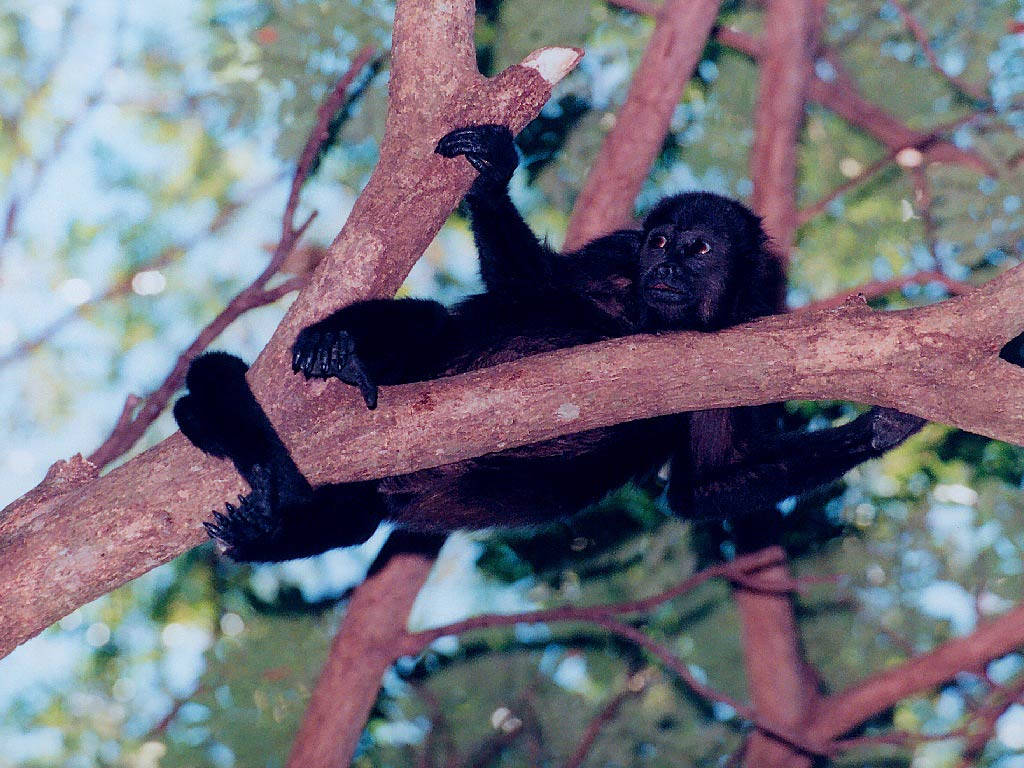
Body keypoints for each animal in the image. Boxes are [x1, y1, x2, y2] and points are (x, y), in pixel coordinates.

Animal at [176, 123, 929, 561]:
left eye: (700, 249)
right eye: (660, 243)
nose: (665, 269)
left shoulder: (756, 328)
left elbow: (706, 484)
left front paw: (880, 428)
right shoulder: (615, 256)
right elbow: (529, 289)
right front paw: (490, 176)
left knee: (356, 518)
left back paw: (272, 528)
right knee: (430, 324)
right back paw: (333, 353)